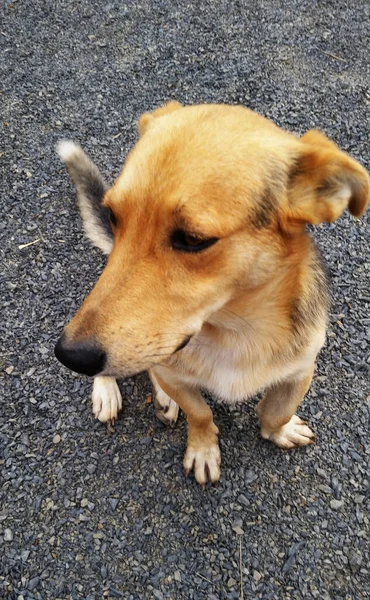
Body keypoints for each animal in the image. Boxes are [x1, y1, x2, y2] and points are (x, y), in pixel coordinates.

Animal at [55, 103, 370, 486]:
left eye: (192, 239)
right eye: (113, 216)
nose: (71, 355)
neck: (235, 331)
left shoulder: (300, 370)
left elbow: (276, 411)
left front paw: (279, 431)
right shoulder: (178, 375)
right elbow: (201, 414)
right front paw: (203, 450)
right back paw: (108, 391)